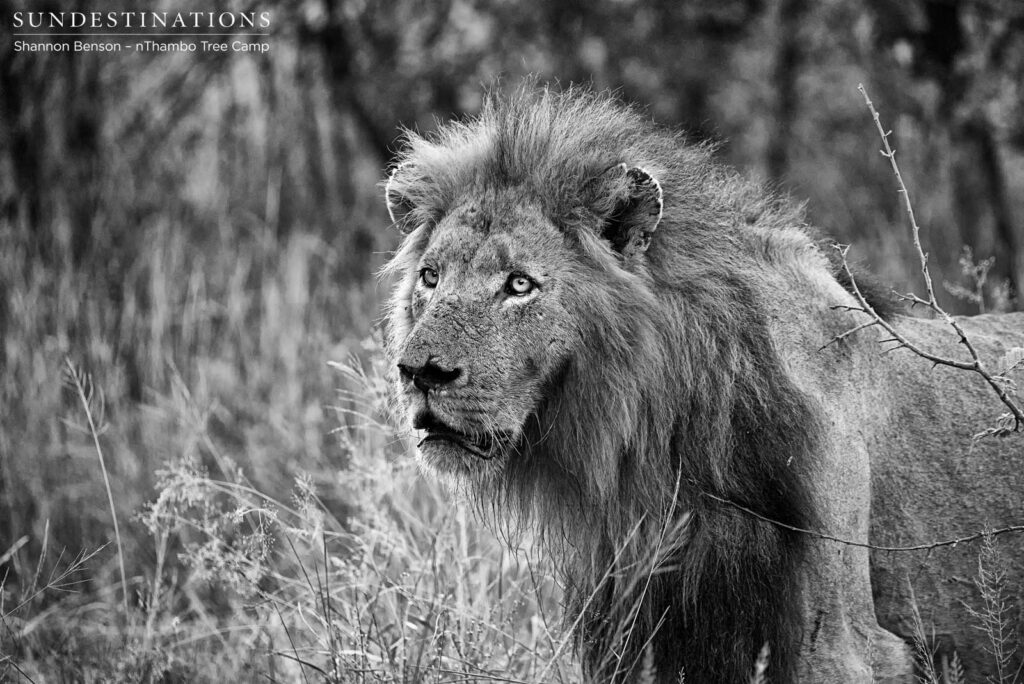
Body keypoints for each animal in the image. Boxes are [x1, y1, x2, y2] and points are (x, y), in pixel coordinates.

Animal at [381, 84, 1024, 682]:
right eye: (431, 278)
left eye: (519, 284)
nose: (419, 373)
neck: (658, 447)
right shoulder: (636, 621)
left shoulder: (844, 644)